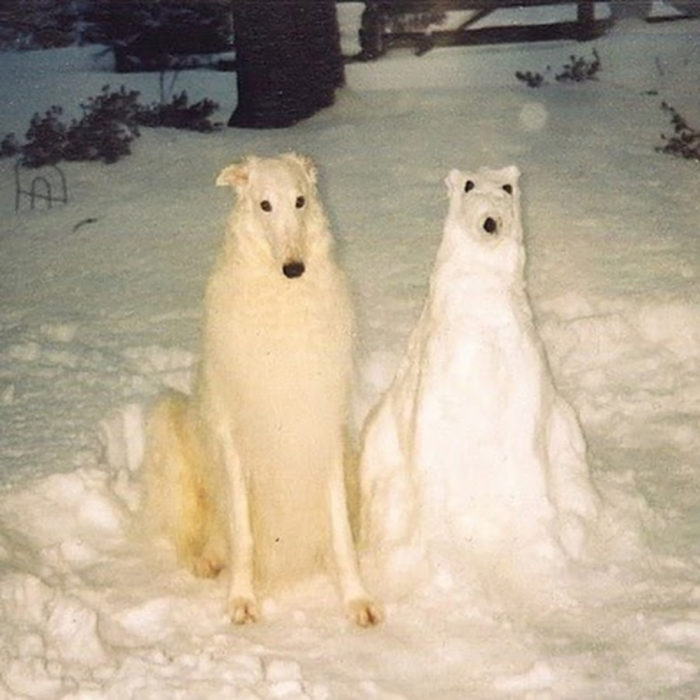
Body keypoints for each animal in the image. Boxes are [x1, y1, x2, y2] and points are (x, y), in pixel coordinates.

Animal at [142, 156, 380, 628]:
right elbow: (244, 536)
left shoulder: (321, 425)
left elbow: (340, 533)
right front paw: (242, 600)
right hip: (167, 419)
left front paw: (356, 600)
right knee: (192, 534)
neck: (281, 305)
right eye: (264, 204)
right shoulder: (234, 439)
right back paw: (206, 559)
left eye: (300, 200)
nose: (294, 268)